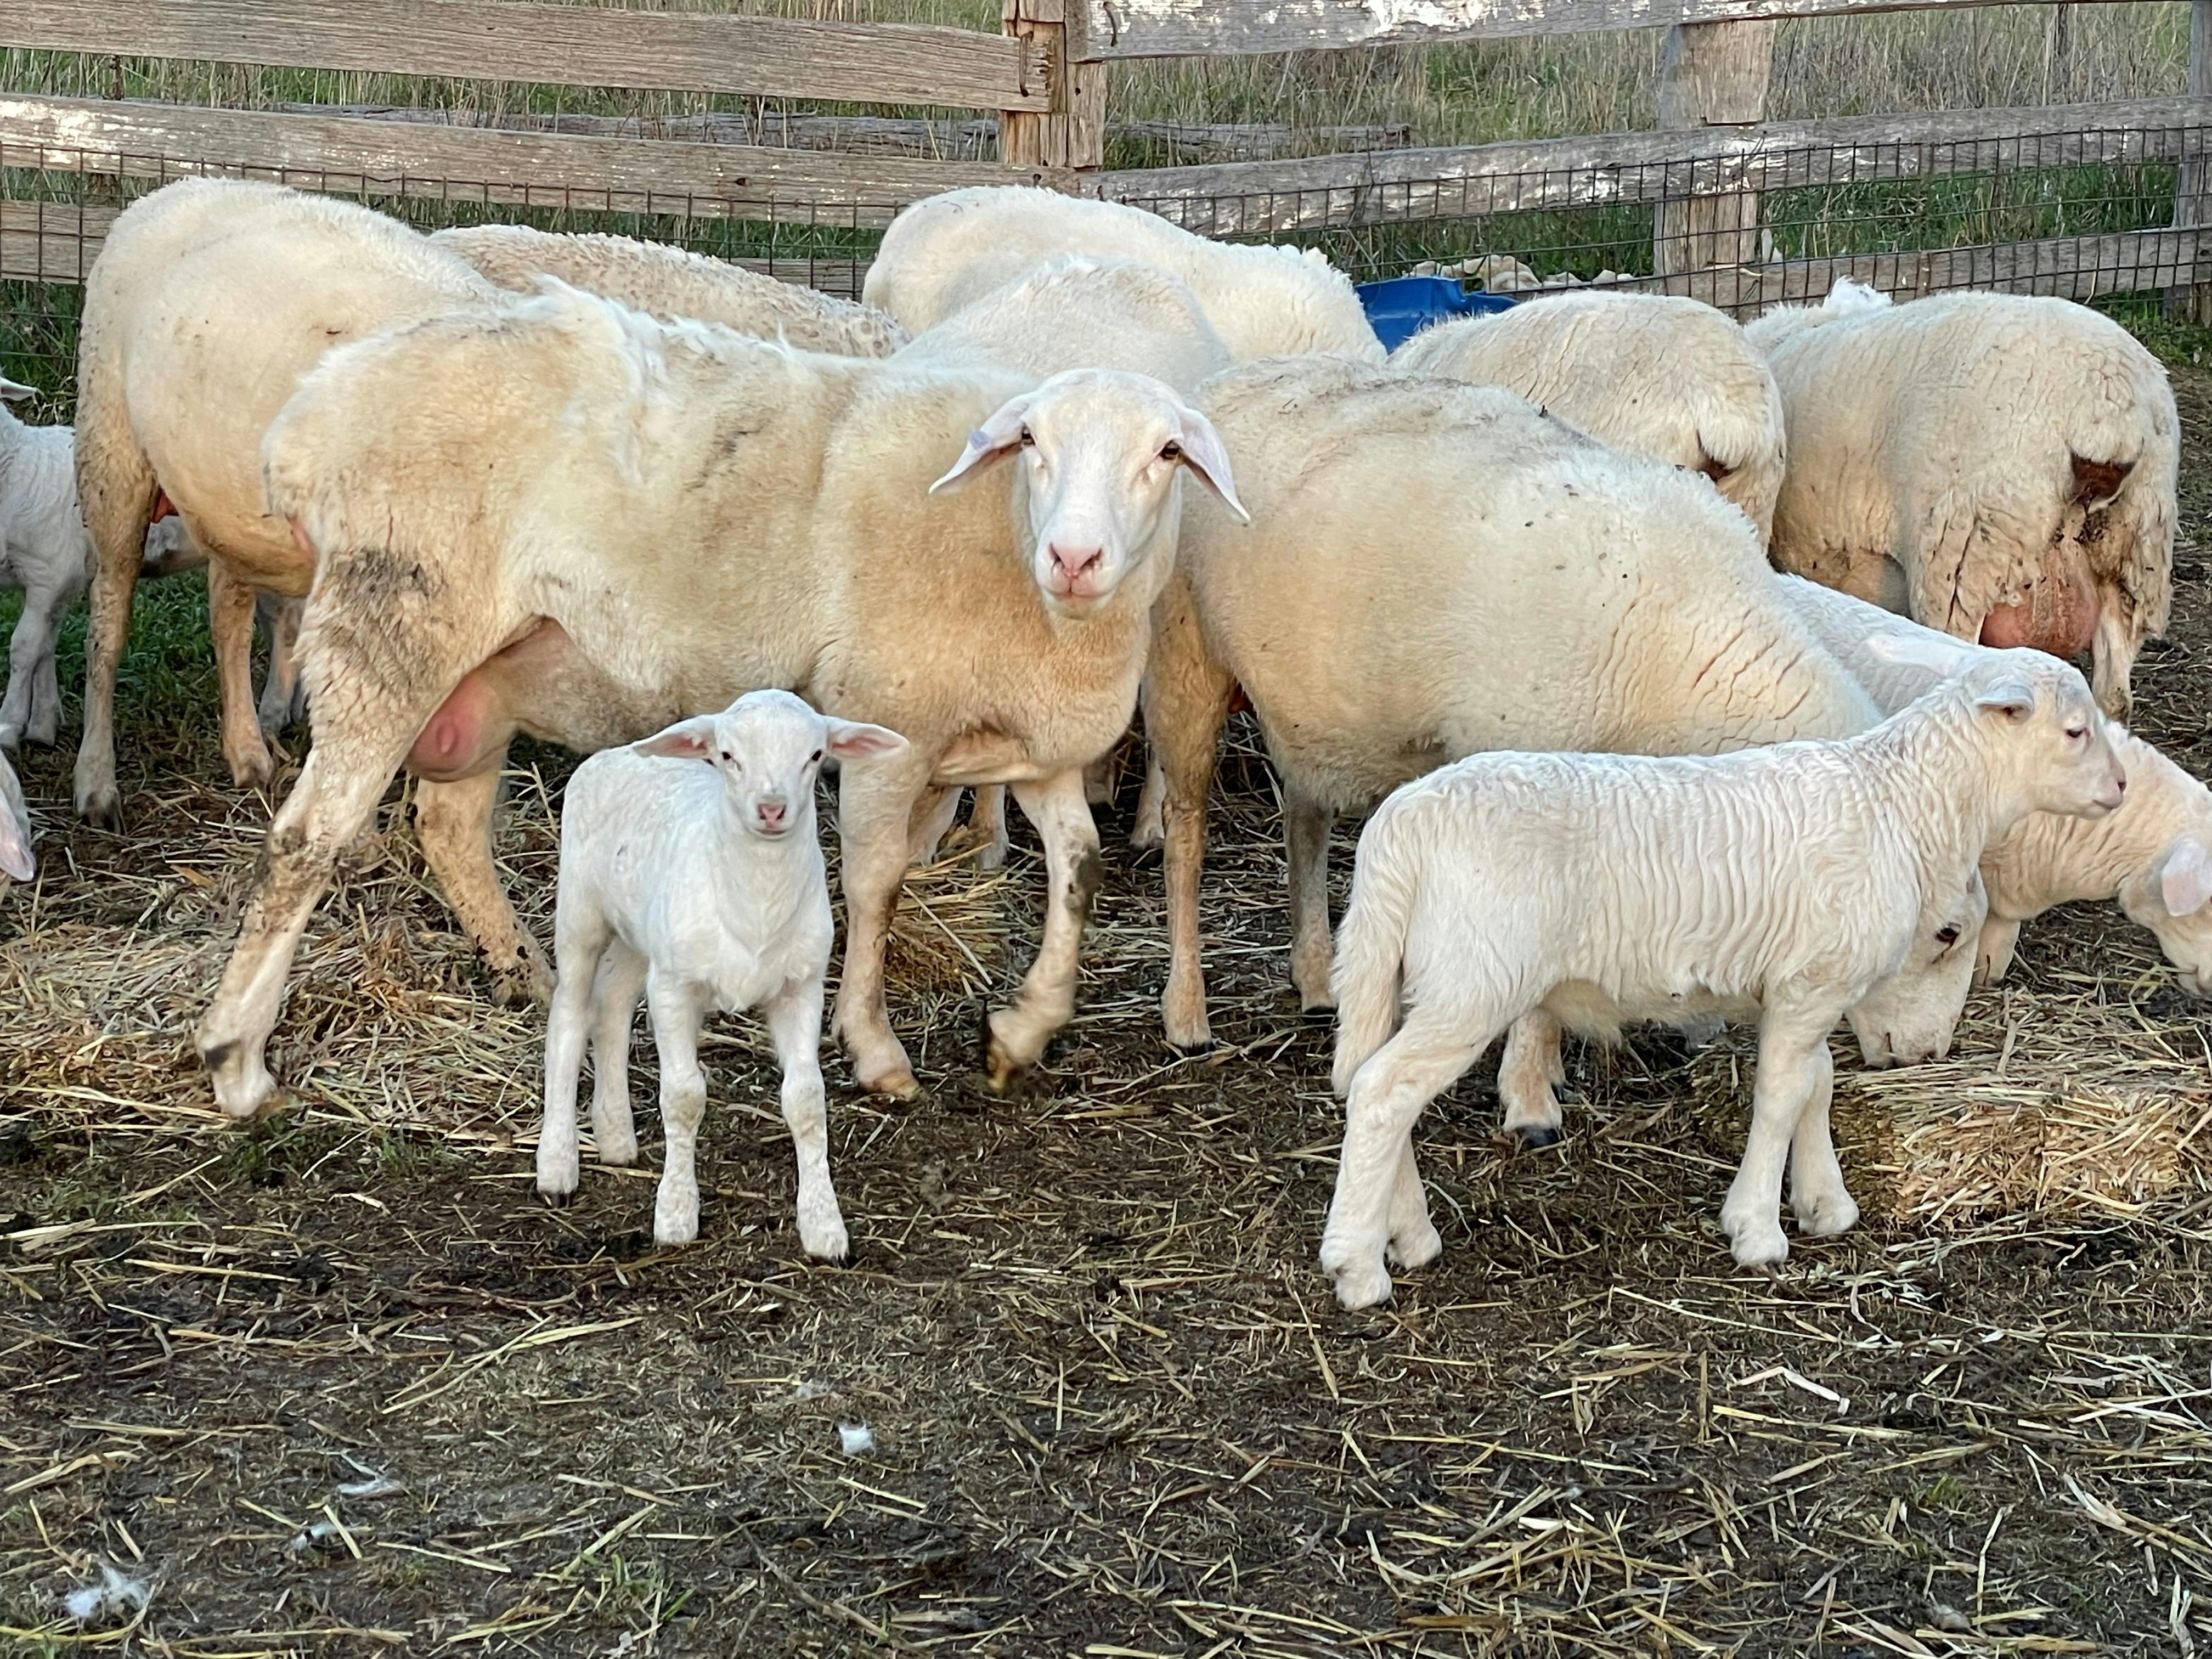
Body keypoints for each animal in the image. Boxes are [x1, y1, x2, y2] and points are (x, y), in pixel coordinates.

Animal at [192, 279, 1245, 1120]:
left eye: (1165, 453)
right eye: (1032, 443)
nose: (1076, 557)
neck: (1010, 545)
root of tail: (311, 413)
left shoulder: (1032, 745)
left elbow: (1081, 869)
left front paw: (1024, 1029)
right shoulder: (893, 723)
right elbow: (875, 884)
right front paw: (873, 1047)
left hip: (484, 675)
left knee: (449, 825)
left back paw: (530, 973)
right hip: (395, 622)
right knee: (306, 842)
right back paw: (237, 1059)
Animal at [540, 690, 907, 1253]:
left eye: (815, 756)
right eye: (729, 755)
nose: (772, 809)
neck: (756, 902)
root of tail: (618, 751)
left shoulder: (802, 986)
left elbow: (807, 1100)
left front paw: (824, 1226)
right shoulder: (675, 987)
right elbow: (683, 1096)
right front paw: (675, 1216)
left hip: (641, 936)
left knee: (613, 1008)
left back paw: (616, 1138)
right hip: (580, 910)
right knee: (570, 1016)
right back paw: (557, 1165)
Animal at [1144, 356, 1883, 1053]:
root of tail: (1224, 381)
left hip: (1309, 698)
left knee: (1305, 819)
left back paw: (1316, 977)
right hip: (1184, 652)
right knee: (1187, 832)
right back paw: (1186, 1010)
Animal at [1322, 650, 2126, 1306]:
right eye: (2075, 731)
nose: (2118, 789)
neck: (1899, 805)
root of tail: (1399, 830)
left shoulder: (1807, 987)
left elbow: (1816, 1085)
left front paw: (1824, 1204)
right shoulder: (1816, 981)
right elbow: (1779, 1096)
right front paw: (1758, 1230)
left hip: (1404, 973)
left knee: (1372, 1083)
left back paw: (1409, 1237)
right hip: (1475, 979)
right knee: (1384, 1094)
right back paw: (1358, 1267)